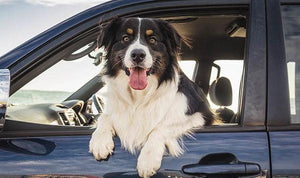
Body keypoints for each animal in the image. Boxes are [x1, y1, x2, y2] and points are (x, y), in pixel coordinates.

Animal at [88, 17, 216, 178]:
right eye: (125, 38)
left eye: (153, 40)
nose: (137, 55)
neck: (139, 97)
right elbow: (104, 117)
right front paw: (100, 142)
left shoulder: (201, 116)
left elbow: (160, 127)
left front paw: (147, 160)